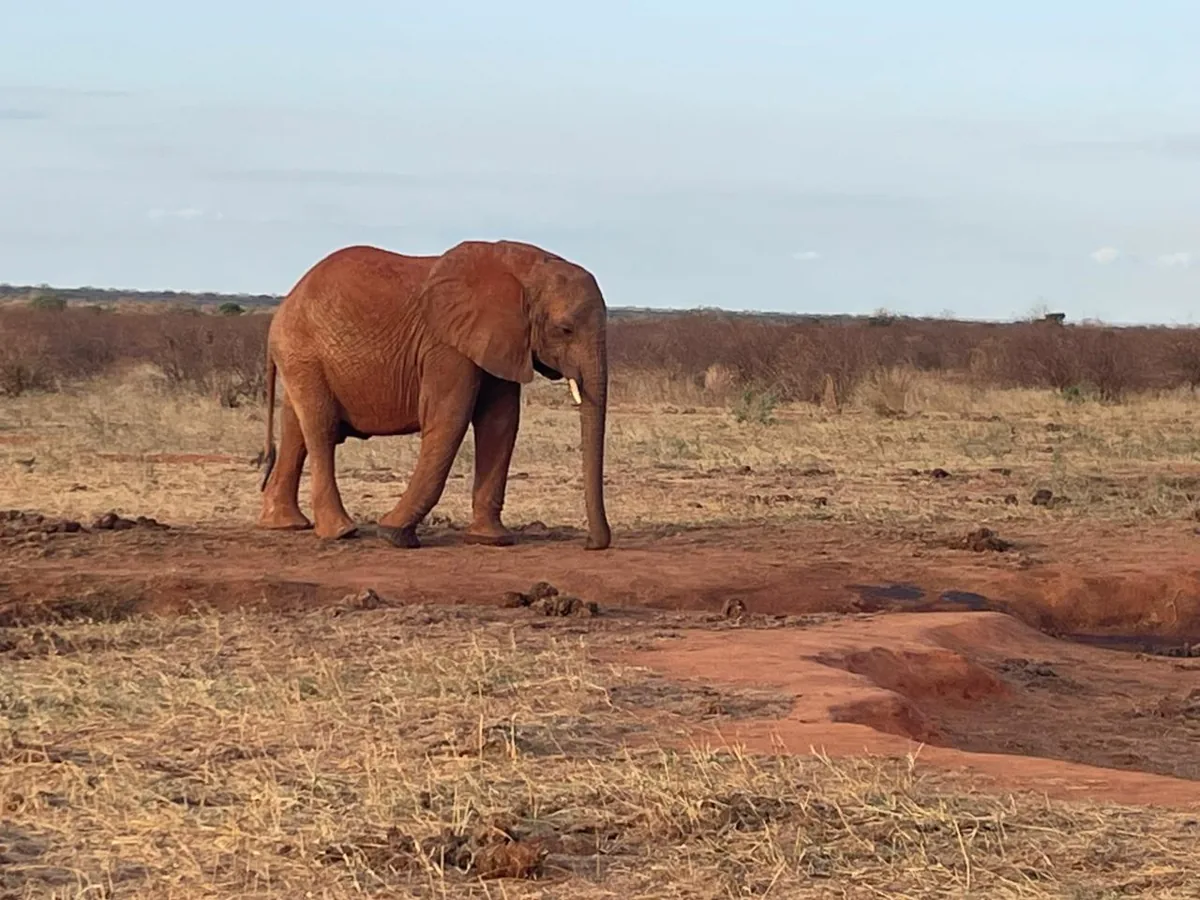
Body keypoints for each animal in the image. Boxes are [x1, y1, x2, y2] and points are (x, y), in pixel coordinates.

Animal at [255, 239, 612, 551]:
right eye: (564, 330)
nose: (591, 544)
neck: (523, 268)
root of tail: (282, 310)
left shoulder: (499, 339)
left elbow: (500, 423)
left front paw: (490, 540)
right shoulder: (446, 346)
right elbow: (449, 419)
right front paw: (394, 535)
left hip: (300, 359)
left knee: (295, 430)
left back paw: (285, 524)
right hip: (303, 354)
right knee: (321, 429)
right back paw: (341, 532)